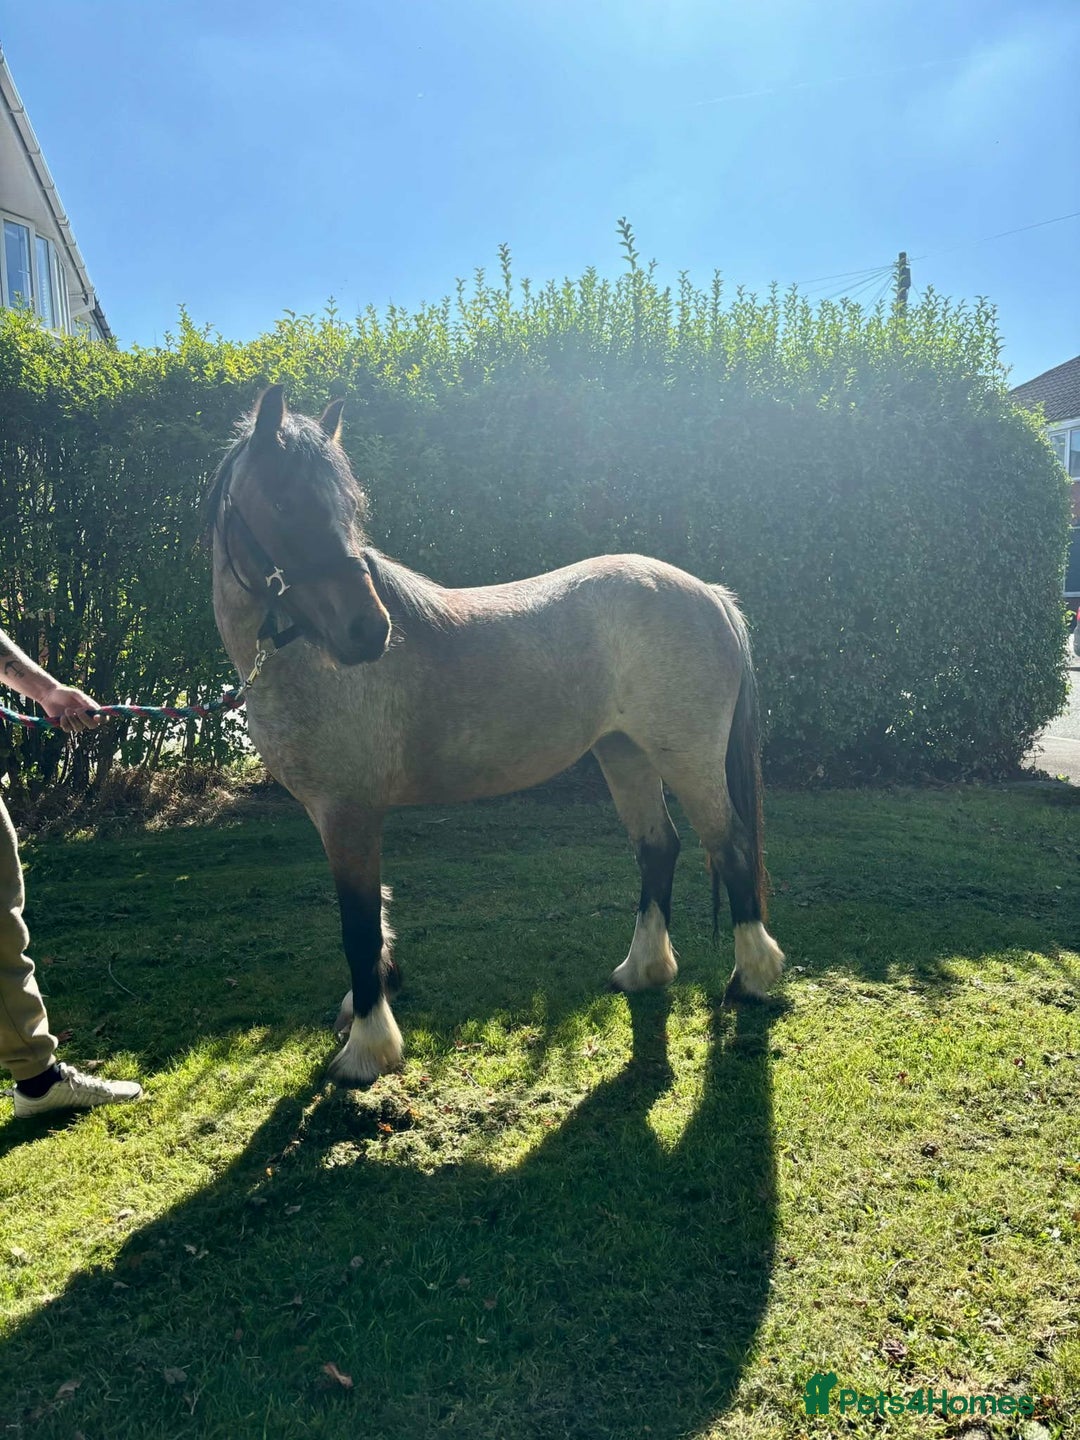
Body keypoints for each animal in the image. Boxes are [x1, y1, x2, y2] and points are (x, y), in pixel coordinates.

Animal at [205, 385, 784, 1084]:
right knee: (658, 847)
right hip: (624, 753)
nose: (369, 632)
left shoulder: (348, 814)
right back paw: (642, 971)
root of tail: (710, 594)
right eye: (283, 504)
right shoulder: (348, 817)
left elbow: (359, 926)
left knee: (730, 844)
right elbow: (377, 916)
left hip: (687, 757)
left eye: (349, 507)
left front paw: (367, 1048)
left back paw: (751, 979)